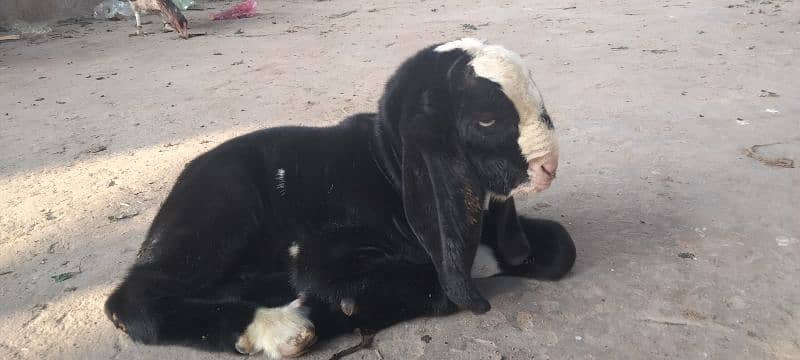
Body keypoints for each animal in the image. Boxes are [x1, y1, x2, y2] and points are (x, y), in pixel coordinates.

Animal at [104, 38, 576, 358]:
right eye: (486, 120)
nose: (549, 167)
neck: (384, 164)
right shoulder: (323, 254)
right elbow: (432, 286)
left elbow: (558, 246)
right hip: (219, 208)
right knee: (132, 299)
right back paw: (280, 327)